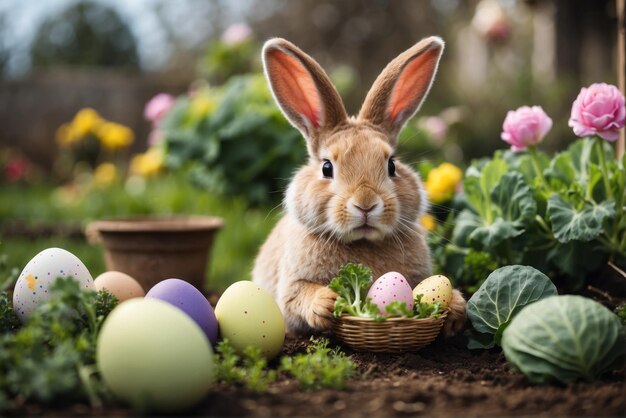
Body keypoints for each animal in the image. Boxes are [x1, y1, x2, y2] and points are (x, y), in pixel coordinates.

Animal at [251, 36, 466, 336]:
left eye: (392, 165)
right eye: (326, 168)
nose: (366, 204)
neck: (362, 243)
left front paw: (456, 308)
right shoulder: (291, 287)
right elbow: (298, 297)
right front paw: (326, 303)